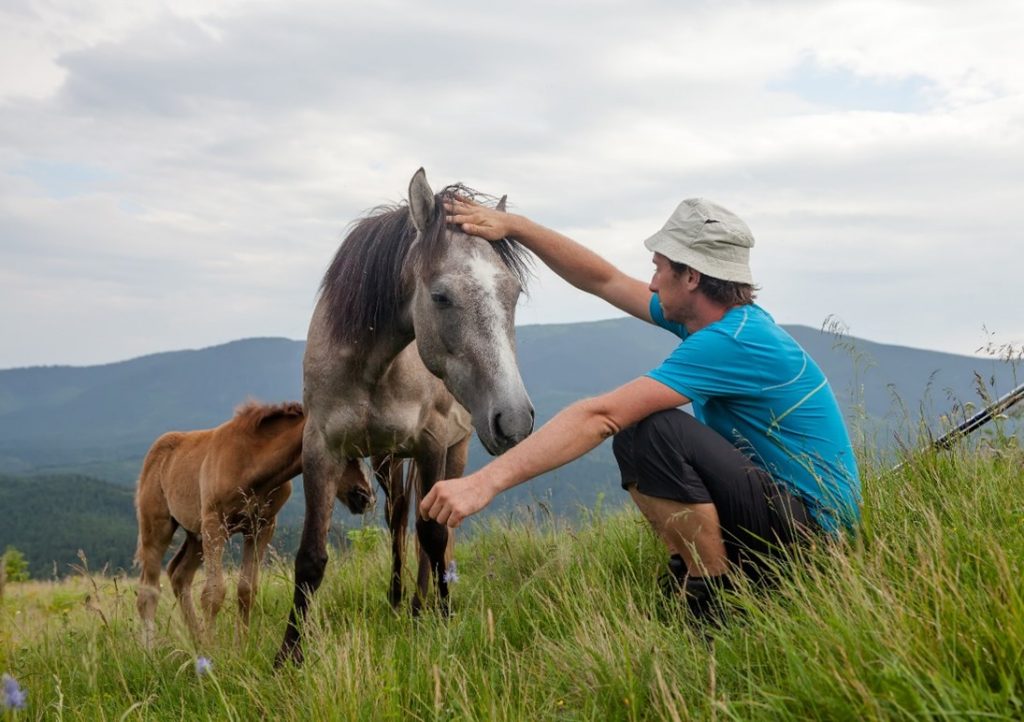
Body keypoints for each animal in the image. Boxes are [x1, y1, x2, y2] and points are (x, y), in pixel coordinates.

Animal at [280, 168, 536, 663]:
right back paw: (402, 600)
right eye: (440, 296)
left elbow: (433, 535)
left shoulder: (433, 444)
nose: (515, 420)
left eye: (513, 293)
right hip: (387, 460)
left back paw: (422, 606)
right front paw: (287, 657)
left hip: (454, 450)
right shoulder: (321, 448)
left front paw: (444, 616)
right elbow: (311, 557)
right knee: (399, 517)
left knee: (435, 530)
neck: (372, 366)